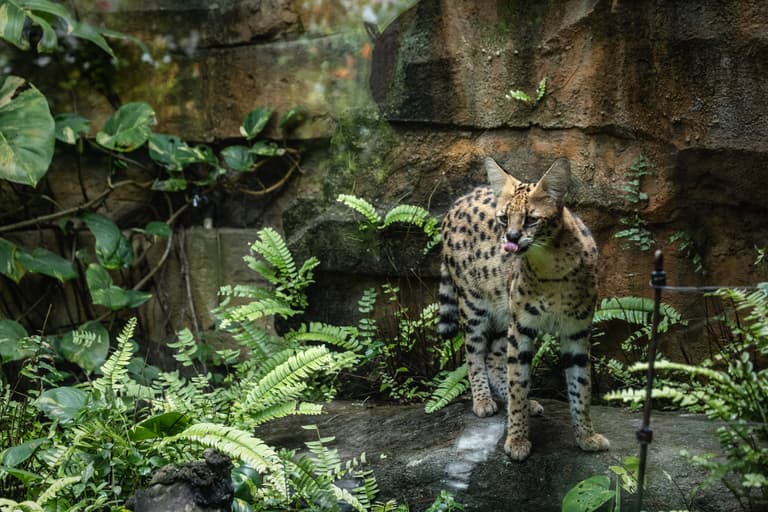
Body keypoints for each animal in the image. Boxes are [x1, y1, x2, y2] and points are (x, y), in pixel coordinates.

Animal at [438, 156, 610, 461]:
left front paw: (586, 436)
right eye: (503, 218)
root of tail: (458, 201)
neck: (552, 265)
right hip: (474, 305)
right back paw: (483, 400)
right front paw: (517, 440)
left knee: (493, 357)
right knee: (474, 353)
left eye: (531, 219)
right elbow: (518, 381)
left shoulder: (577, 331)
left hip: (503, 312)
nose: (511, 238)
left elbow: (581, 387)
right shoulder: (521, 328)